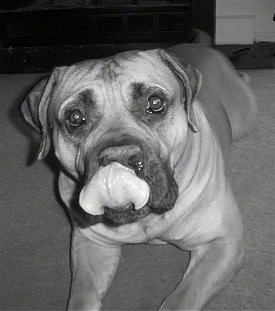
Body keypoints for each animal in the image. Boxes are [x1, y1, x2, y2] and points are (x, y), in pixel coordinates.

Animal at [21, 44, 258, 311]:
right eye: (75, 117)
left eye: (155, 103)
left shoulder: (222, 242)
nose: (118, 156)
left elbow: (181, 299)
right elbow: (82, 296)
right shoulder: (92, 245)